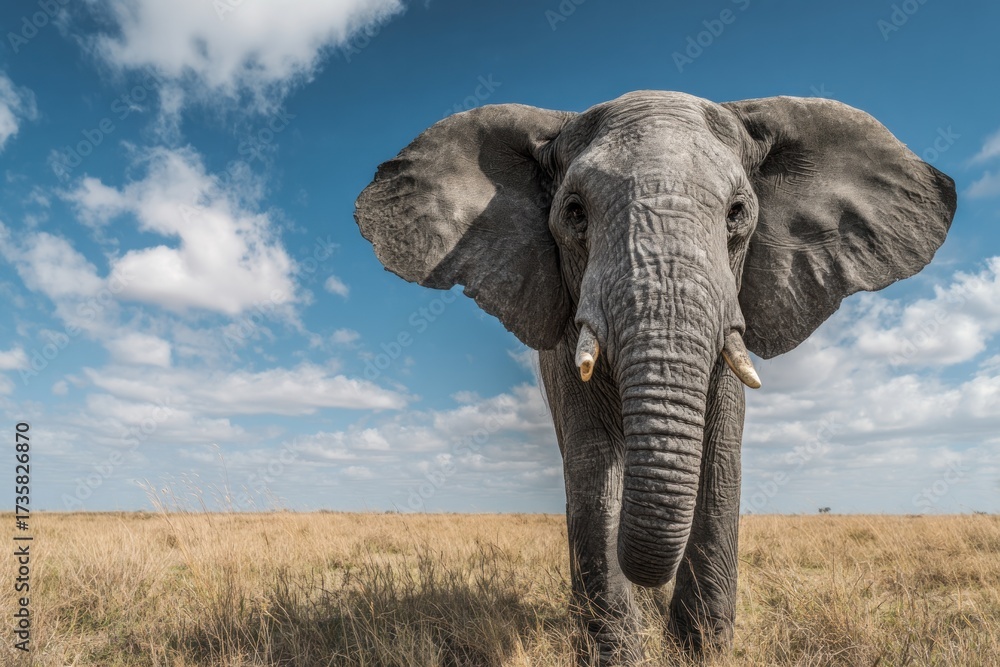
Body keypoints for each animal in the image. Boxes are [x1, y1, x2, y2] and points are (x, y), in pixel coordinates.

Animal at [354, 91, 956, 664]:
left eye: (738, 213)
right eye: (574, 213)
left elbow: (718, 457)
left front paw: (701, 652)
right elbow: (595, 466)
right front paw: (616, 654)